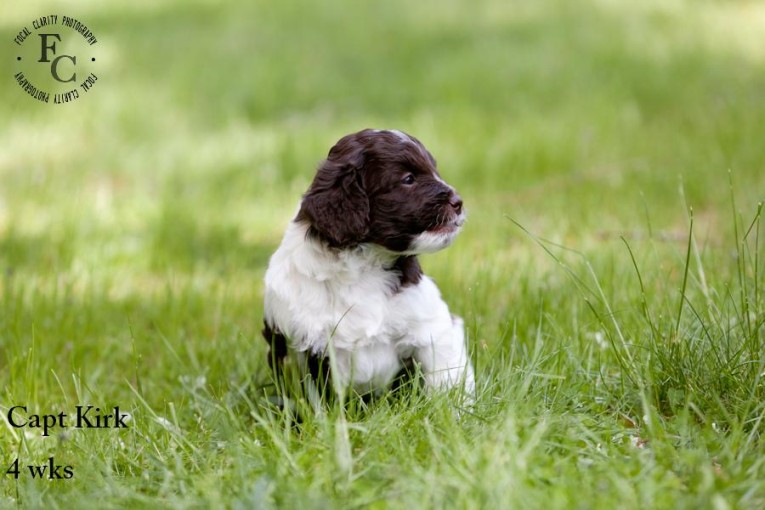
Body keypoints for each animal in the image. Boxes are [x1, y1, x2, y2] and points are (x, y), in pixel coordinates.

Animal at [262, 129, 472, 400]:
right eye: (408, 179)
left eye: (434, 169)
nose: (458, 202)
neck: (364, 265)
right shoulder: (300, 348)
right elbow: (312, 399)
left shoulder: (433, 327)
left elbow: (446, 379)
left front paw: (456, 409)